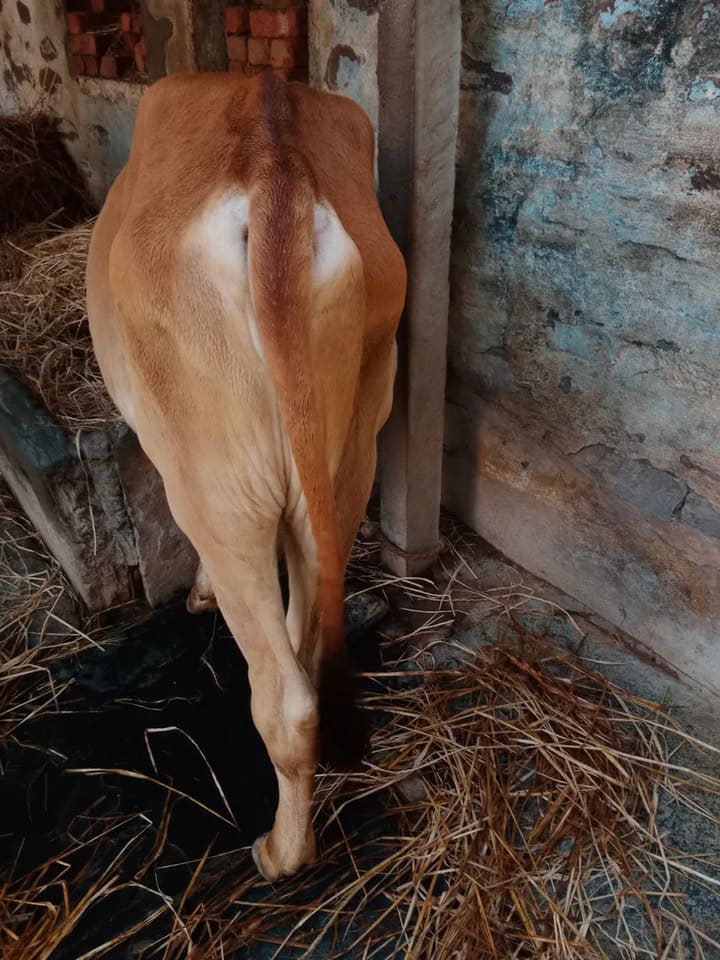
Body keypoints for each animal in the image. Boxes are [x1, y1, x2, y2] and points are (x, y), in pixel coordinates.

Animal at [86, 72, 407, 881]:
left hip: (220, 491)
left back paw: (282, 854)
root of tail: (276, 167)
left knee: (285, 701)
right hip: (346, 458)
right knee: (303, 643)